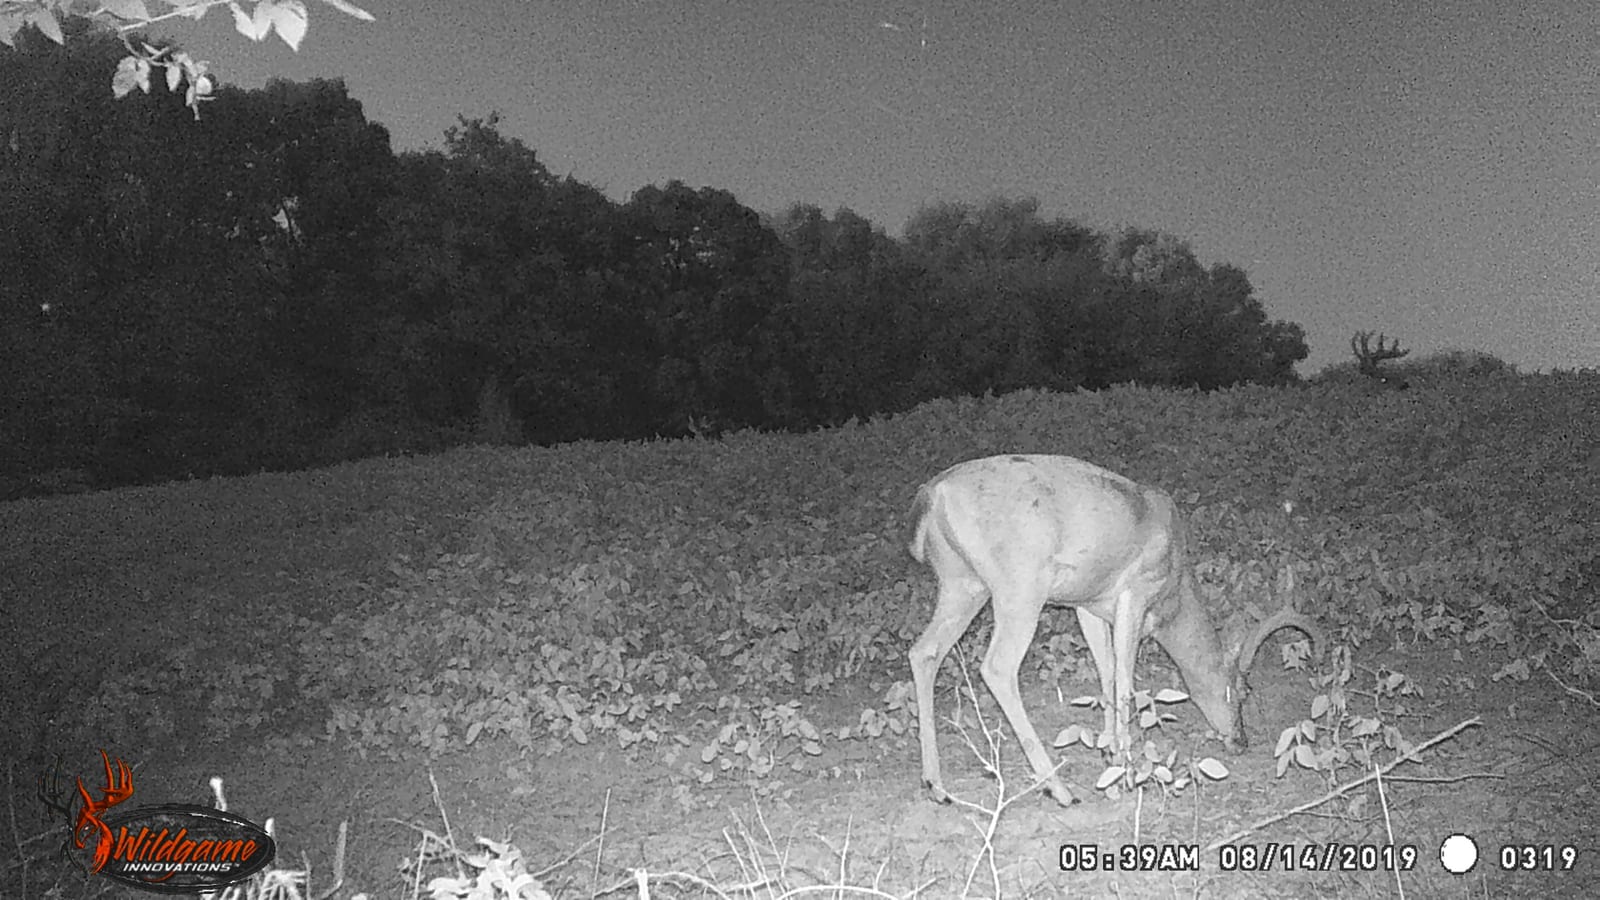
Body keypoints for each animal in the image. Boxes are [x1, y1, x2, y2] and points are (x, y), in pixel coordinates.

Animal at [907, 454, 1322, 807]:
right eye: (1243, 690)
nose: (1241, 740)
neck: (1174, 591)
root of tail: (933, 497)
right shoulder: (1135, 592)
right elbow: (1125, 676)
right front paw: (1126, 764)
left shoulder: (1088, 605)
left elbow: (1105, 671)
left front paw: (1108, 748)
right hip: (1020, 585)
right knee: (997, 667)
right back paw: (1059, 789)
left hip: (962, 583)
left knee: (924, 651)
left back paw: (936, 785)